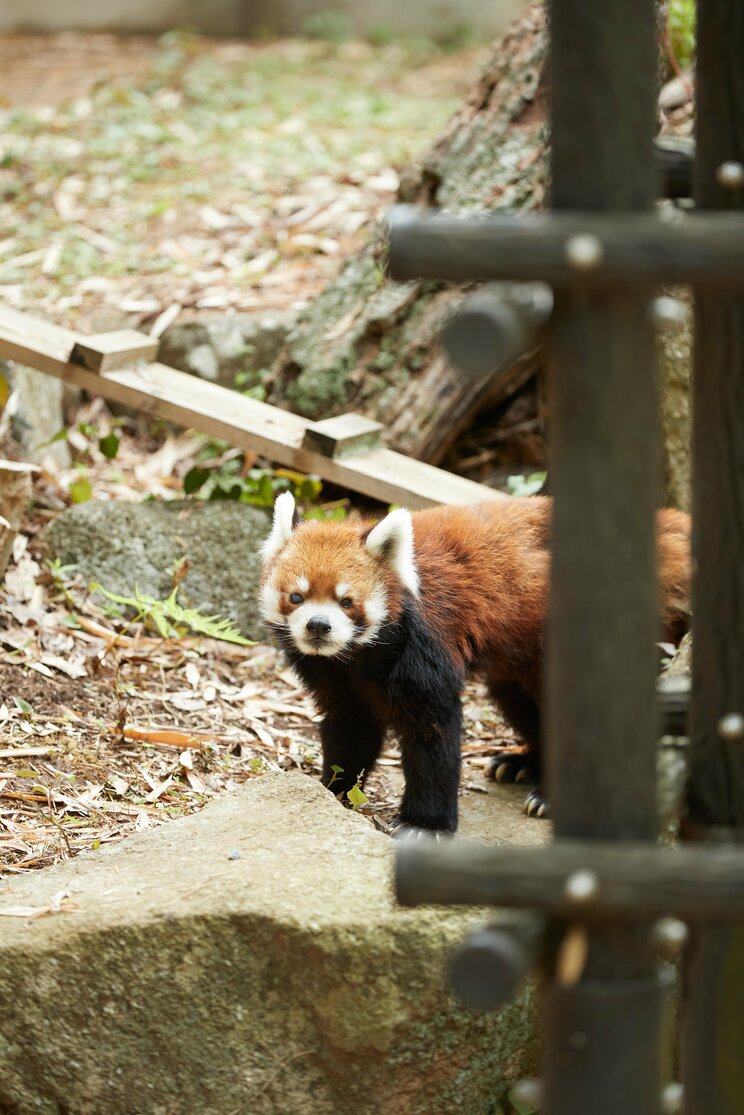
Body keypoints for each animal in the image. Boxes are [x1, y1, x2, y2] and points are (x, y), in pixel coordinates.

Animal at [261, 492, 691, 834]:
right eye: (296, 597)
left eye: (347, 601)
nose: (319, 626)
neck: (358, 657)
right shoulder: (338, 677)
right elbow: (351, 726)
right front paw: (333, 790)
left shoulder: (423, 646)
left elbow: (432, 731)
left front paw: (425, 824)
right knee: (522, 702)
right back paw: (524, 764)